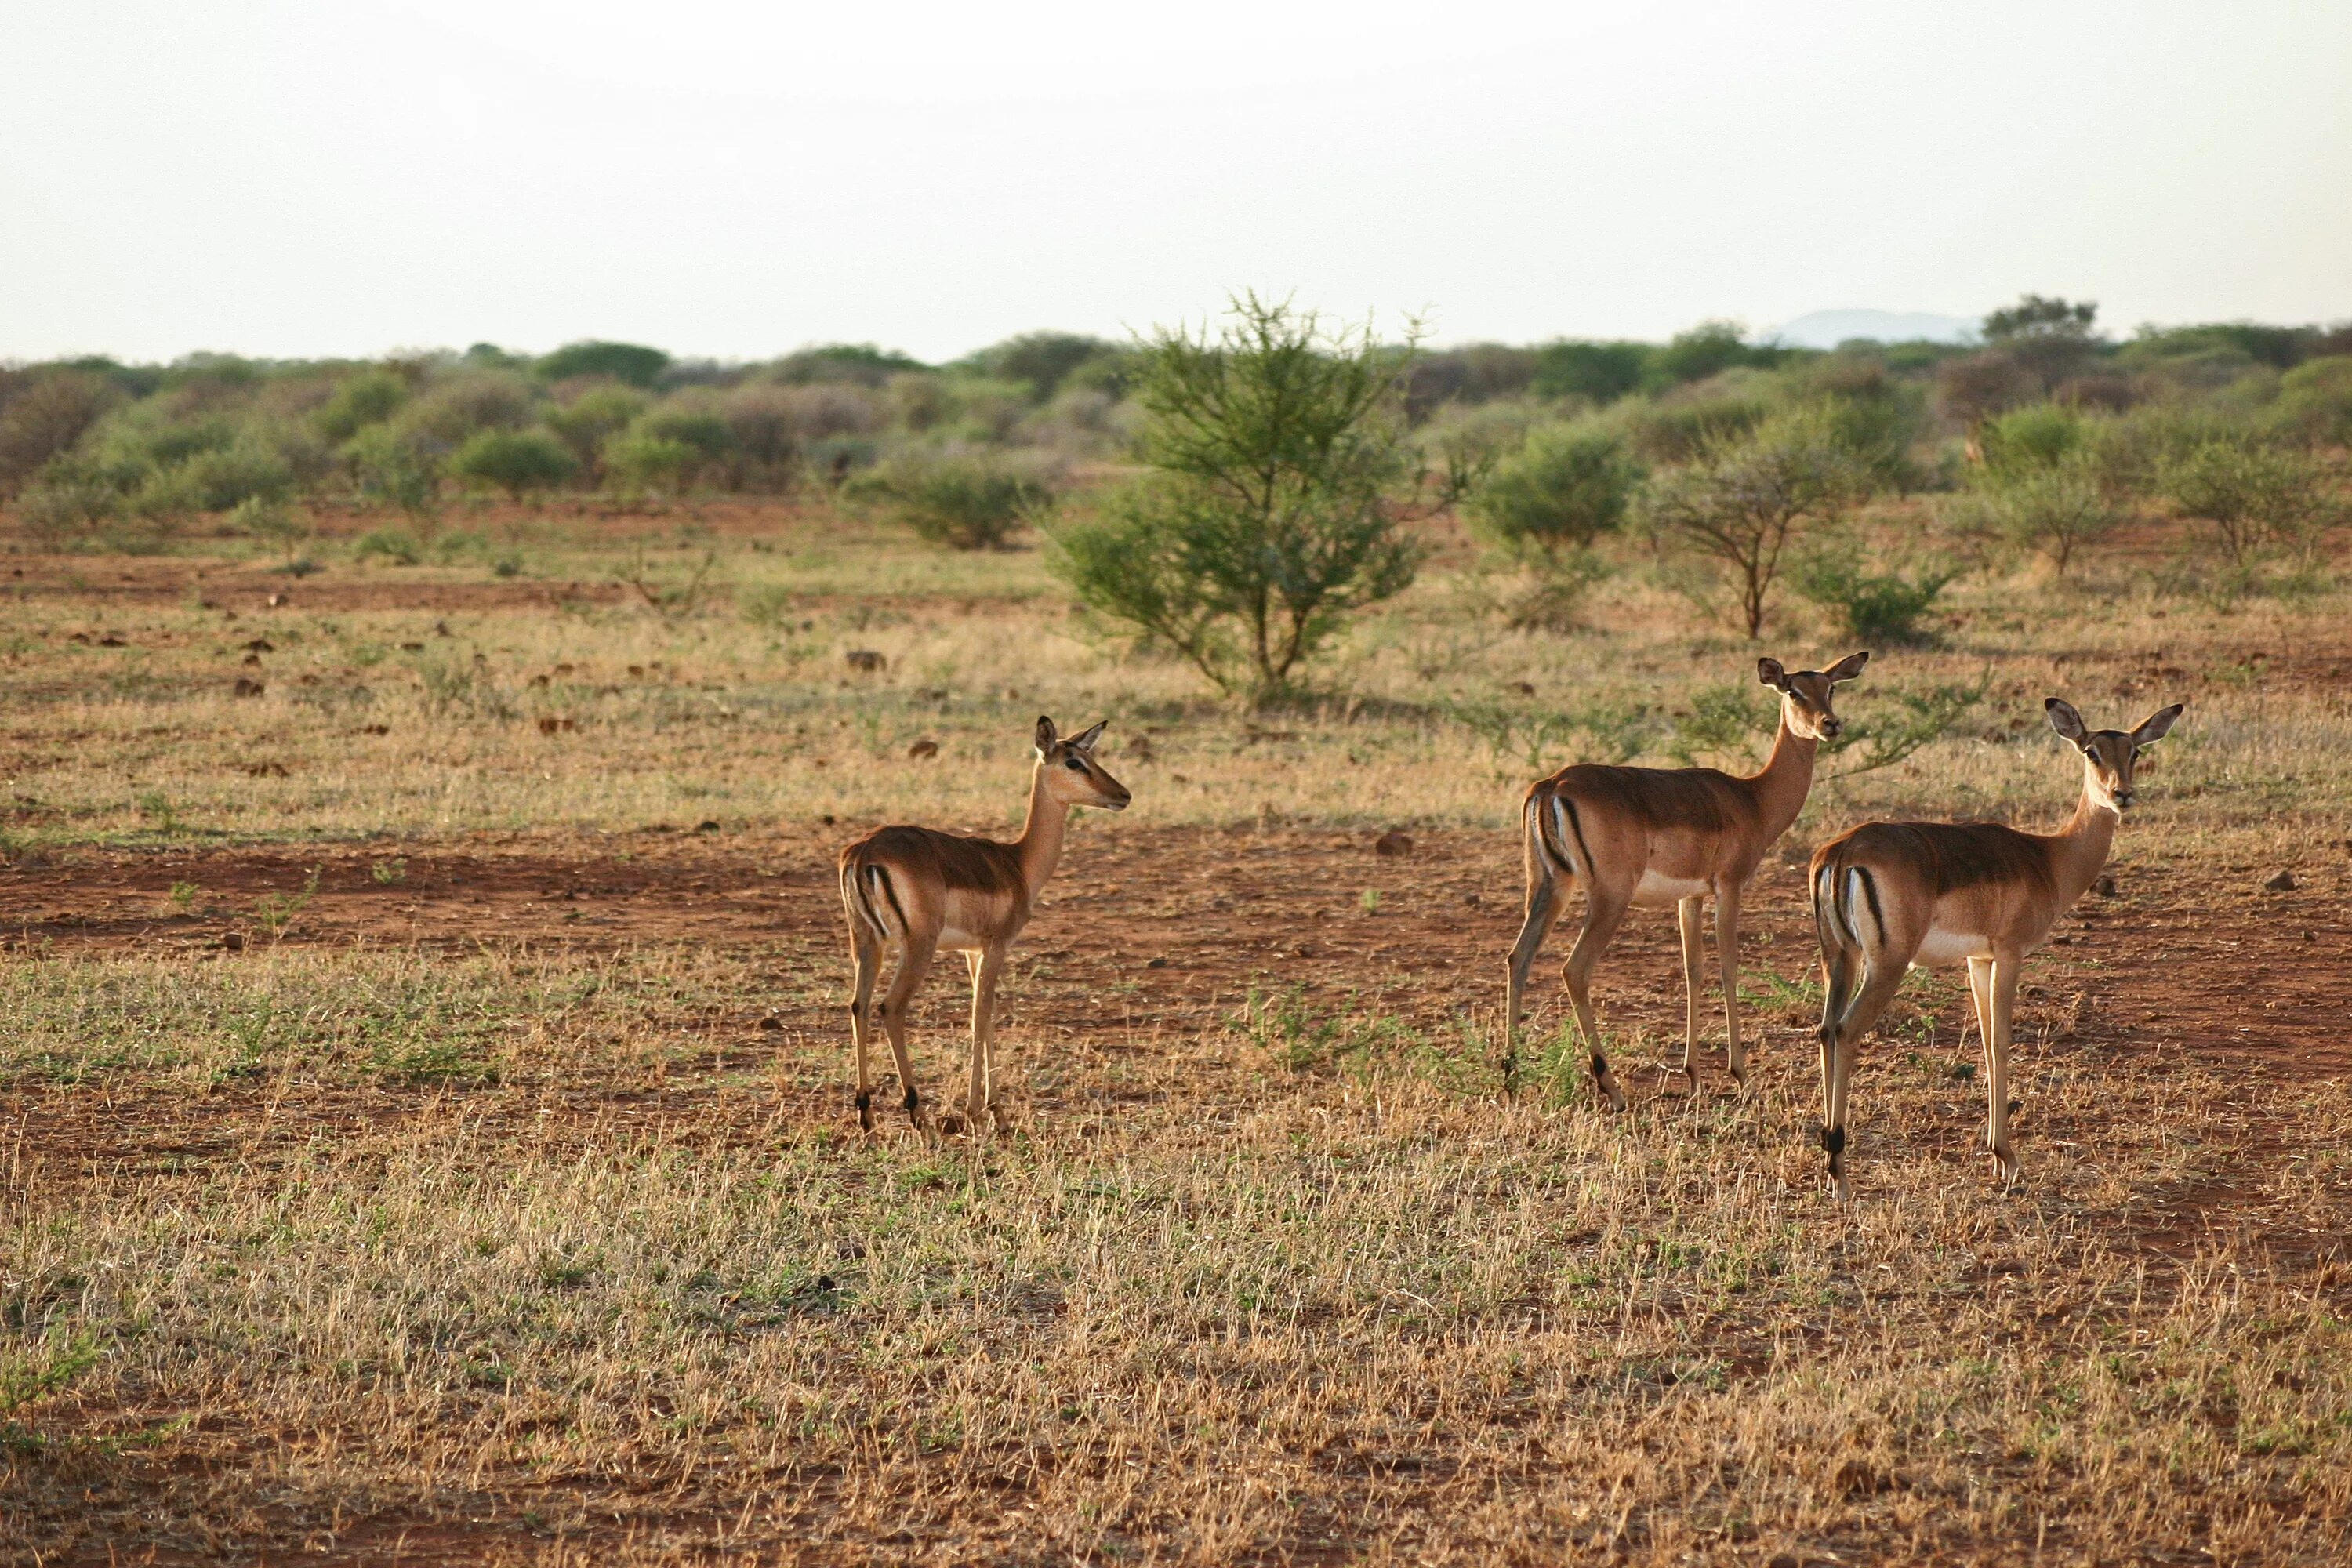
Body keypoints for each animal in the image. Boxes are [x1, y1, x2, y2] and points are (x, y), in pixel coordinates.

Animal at [837, 719, 1129, 1133]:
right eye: (1073, 762)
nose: (1123, 795)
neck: (1018, 863)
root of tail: (864, 853)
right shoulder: (997, 946)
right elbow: (981, 1013)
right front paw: (979, 1113)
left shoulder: (972, 951)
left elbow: (986, 1013)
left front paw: (997, 1115)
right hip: (917, 947)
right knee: (890, 1008)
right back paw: (921, 1119)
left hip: (866, 942)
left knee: (859, 1005)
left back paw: (866, 1116)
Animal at [1505, 648, 1872, 1105]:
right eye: (1793, 690)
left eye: (1830, 687)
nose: (1830, 724)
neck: (1752, 799)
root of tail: (1552, 786)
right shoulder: (1729, 887)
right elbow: (1729, 967)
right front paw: (1741, 1076)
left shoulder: (1690, 896)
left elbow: (1692, 970)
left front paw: (1695, 1074)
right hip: (1609, 897)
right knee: (1574, 970)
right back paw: (1612, 1088)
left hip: (1549, 886)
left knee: (1518, 957)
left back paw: (1511, 1079)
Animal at [1816, 691, 2183, 1194]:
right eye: (2091, 751)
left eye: (2135, 753)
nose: (2122, 794)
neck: (2049, 858)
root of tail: (1845, 849)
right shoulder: (2009, 953)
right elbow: (2004, 1041)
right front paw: (2008, 1158)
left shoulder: (1978, 959)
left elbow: (1988, 1042)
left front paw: (1996, 1156)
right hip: (1886, 966)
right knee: (1846, 1032)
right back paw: (1840, 1173)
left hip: (1841, 958)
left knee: (1825, 1030)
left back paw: (1829, 1160)